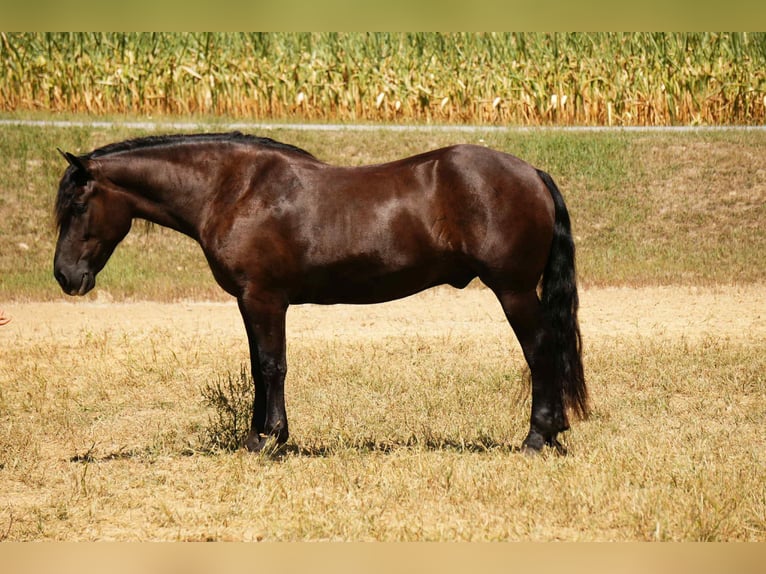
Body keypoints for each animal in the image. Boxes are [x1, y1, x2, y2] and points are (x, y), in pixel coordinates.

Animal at [53, 132, 587, 454]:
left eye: (77, 205)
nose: (64, 276)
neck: (234, 190)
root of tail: (532, 173)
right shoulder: (253, 302)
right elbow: (259, 366)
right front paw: (260, 437)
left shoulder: (263, 298)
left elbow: (272, 366)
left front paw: (269, 441)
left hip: (513, 290)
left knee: (541, 351)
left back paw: (537, 437)